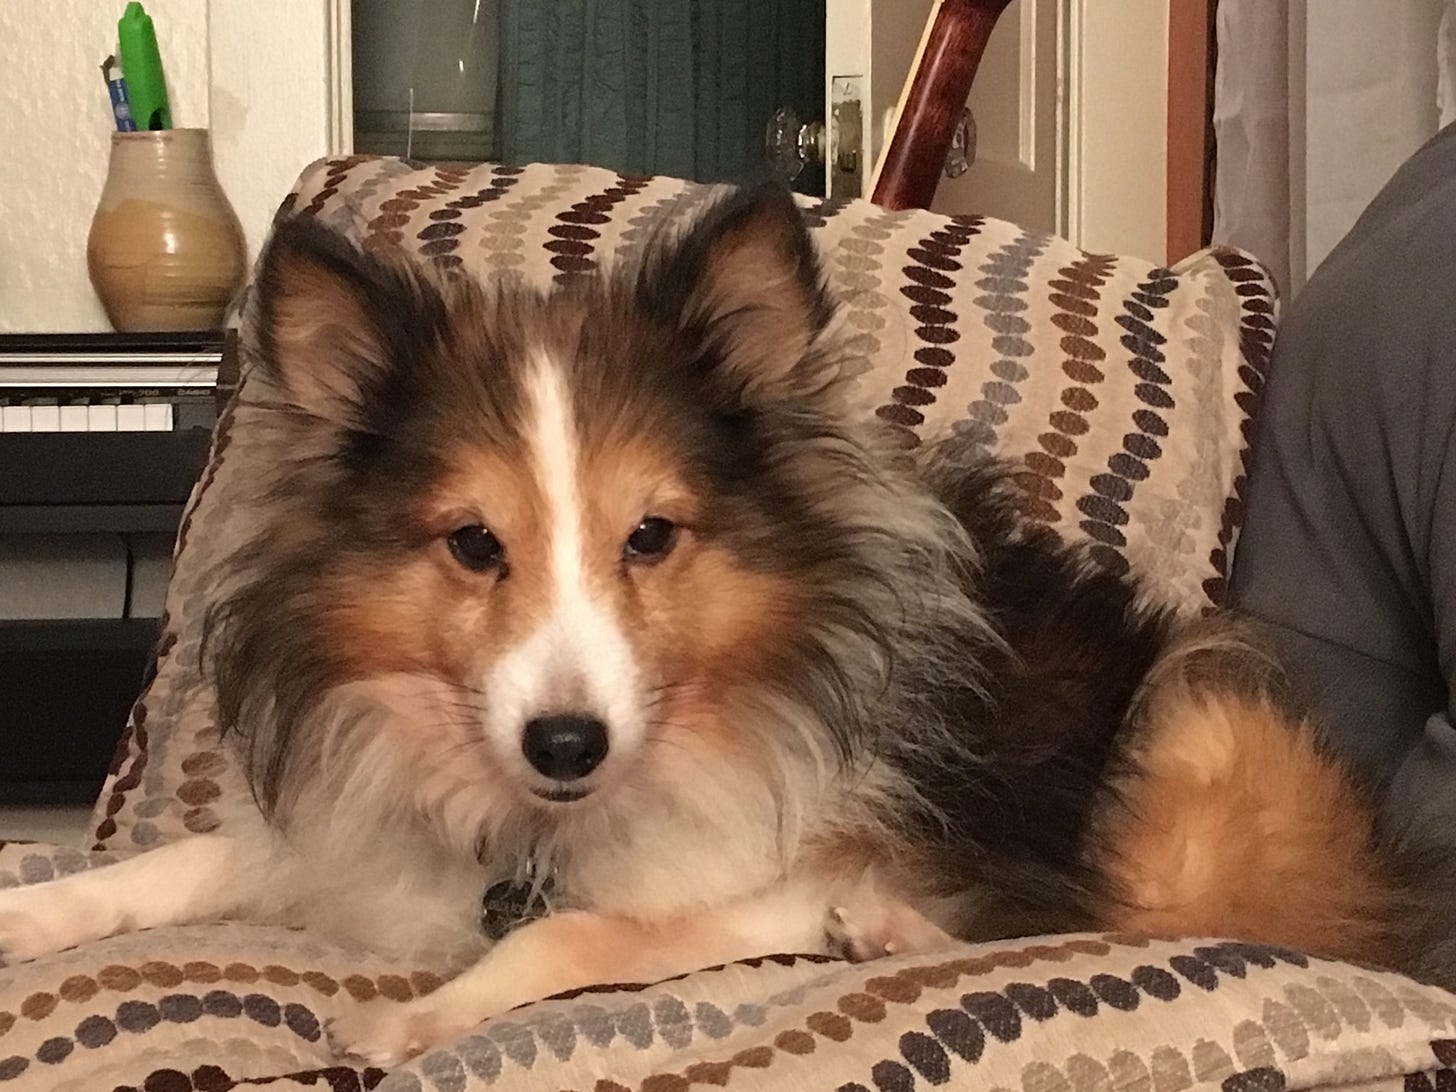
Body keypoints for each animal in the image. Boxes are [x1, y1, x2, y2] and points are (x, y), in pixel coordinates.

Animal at [5, 184, 1450, 1065]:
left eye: (653, 537)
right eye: (474, 544)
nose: (568, 746)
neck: (541, 820)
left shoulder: (755, 881)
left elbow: (568, 931)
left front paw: (414, 1022)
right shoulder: (355, 831)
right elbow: (180, 862)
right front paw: (33, 915)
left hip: (1197, 715)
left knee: (1141, 918)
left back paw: (896, 931)